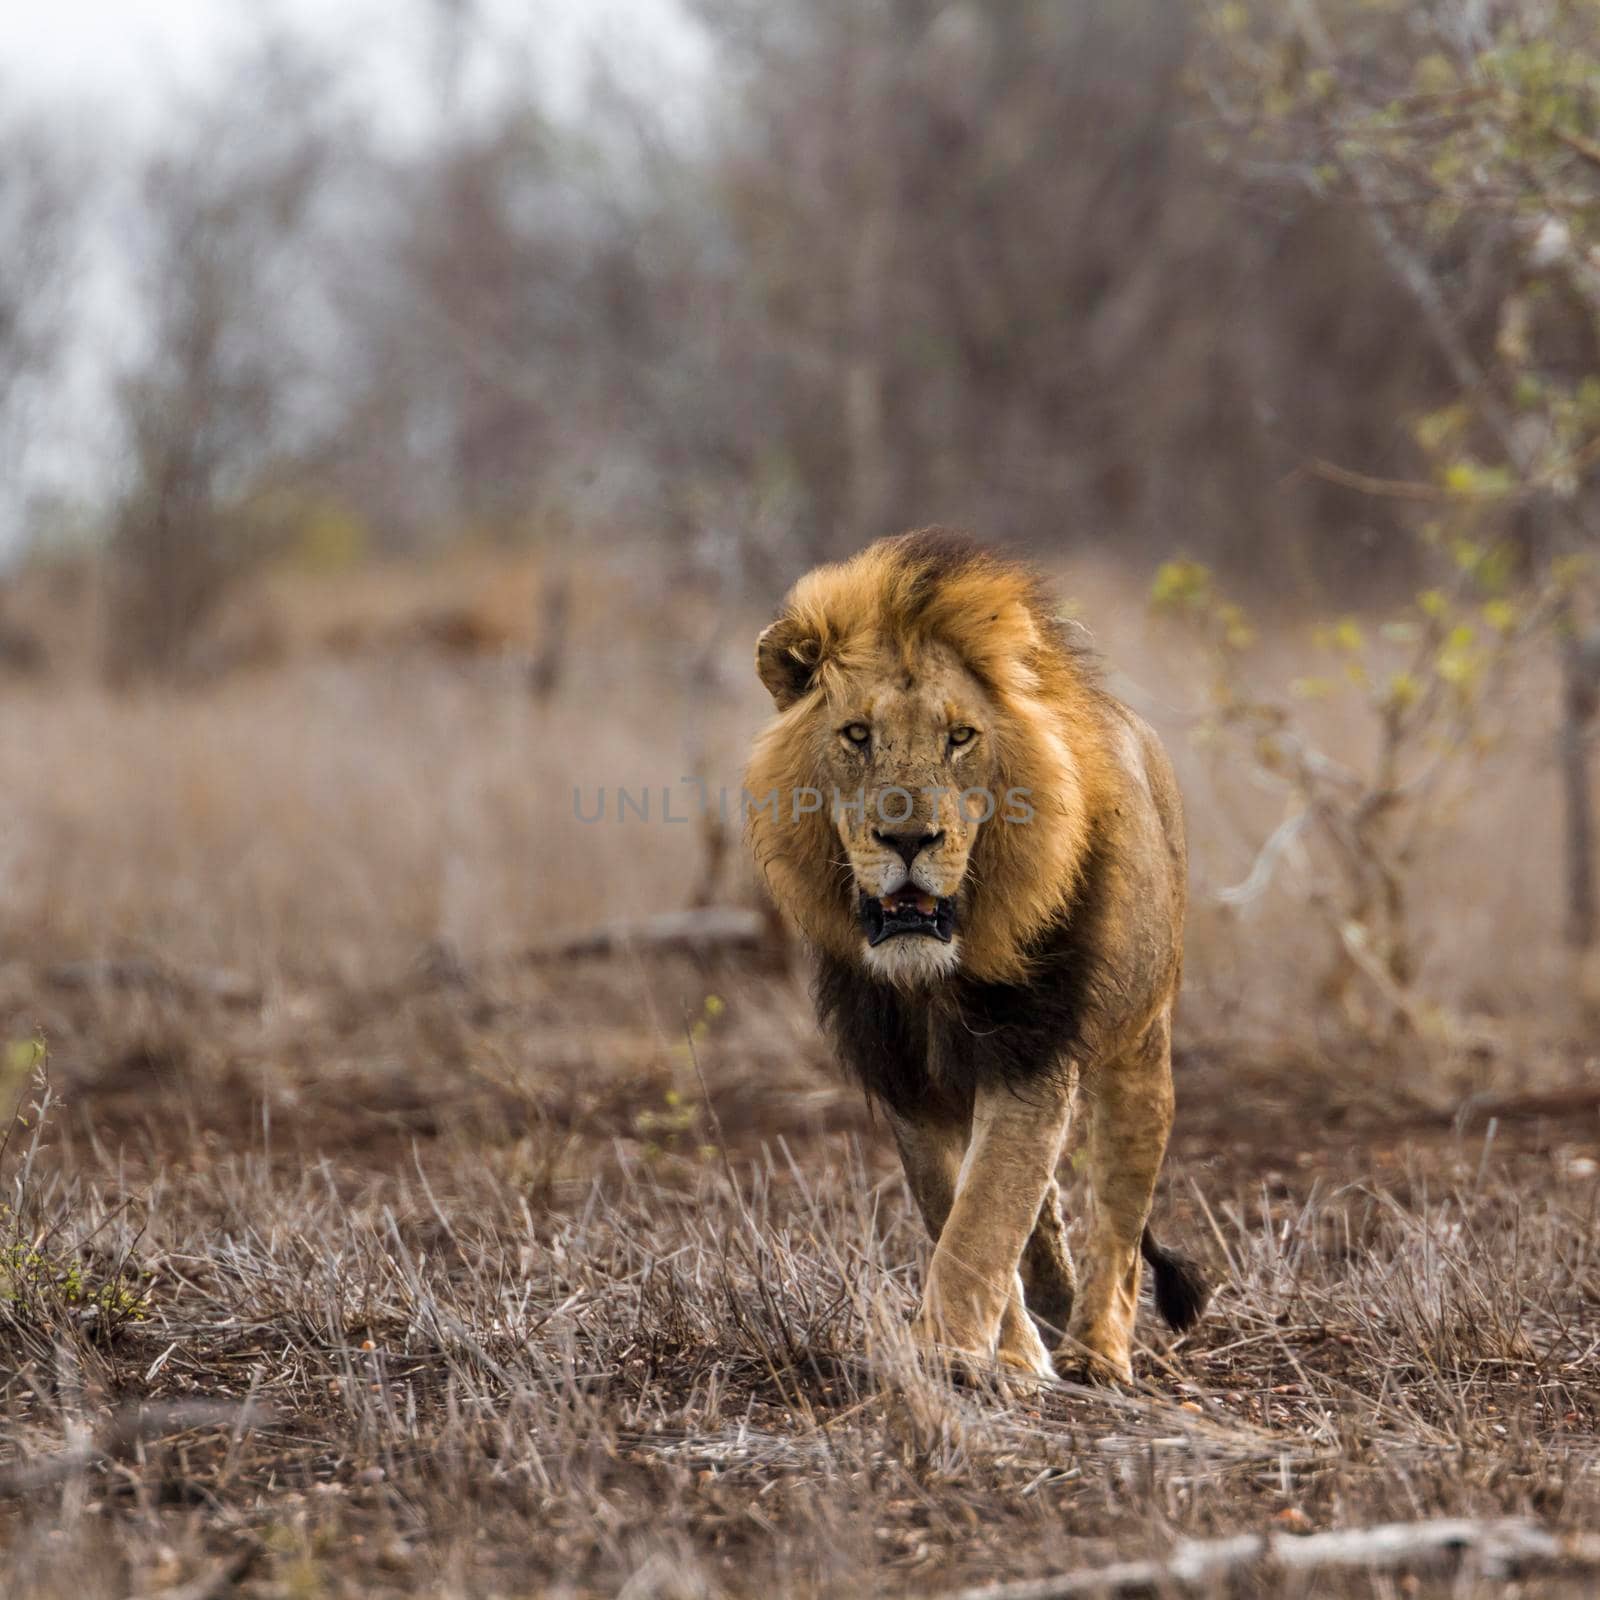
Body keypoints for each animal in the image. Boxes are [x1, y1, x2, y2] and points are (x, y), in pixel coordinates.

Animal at [742, 531, 1203, 1382]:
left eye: (960, 738)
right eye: (857, 735)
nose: (908, 840)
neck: (933, 979)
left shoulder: (1030, 1052)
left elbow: (986, 1213)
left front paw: (954, 1353)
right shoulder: (905, 1076)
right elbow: (956, 1207)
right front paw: (1007, 1358)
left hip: (1140, 1045)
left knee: (1120, 1225)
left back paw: (1097, 1353)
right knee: (1047, 1220)